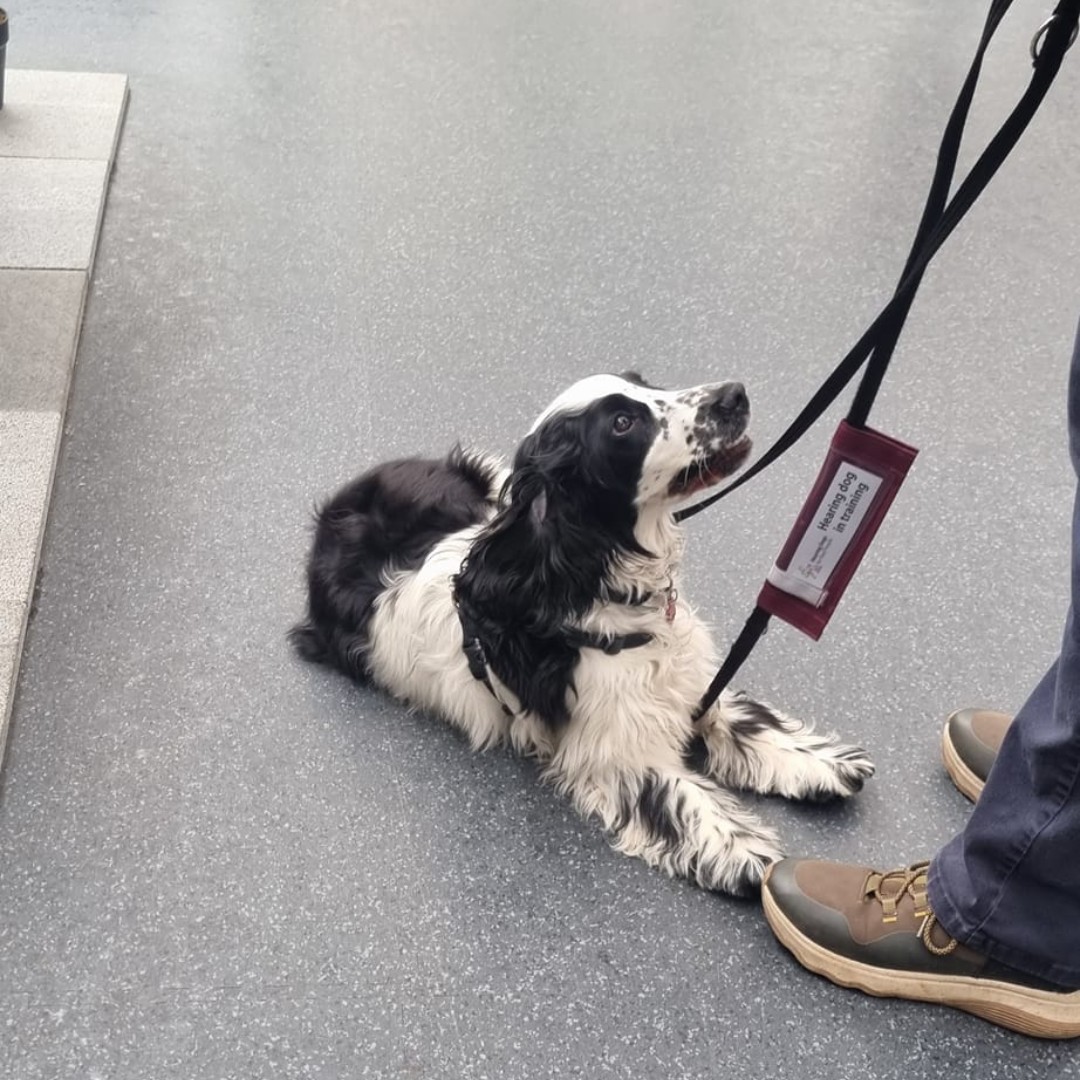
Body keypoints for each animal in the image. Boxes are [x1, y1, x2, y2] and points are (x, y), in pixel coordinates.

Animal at [291, 371, 872, 894]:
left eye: (646, 383)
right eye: (621, 423)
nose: (733, 394)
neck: (589, 576)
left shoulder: (682, 675)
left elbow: (739, 716)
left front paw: (819, 763)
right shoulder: (614, 749)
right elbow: (681, 798)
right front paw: (743, 851)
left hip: (487, 482)